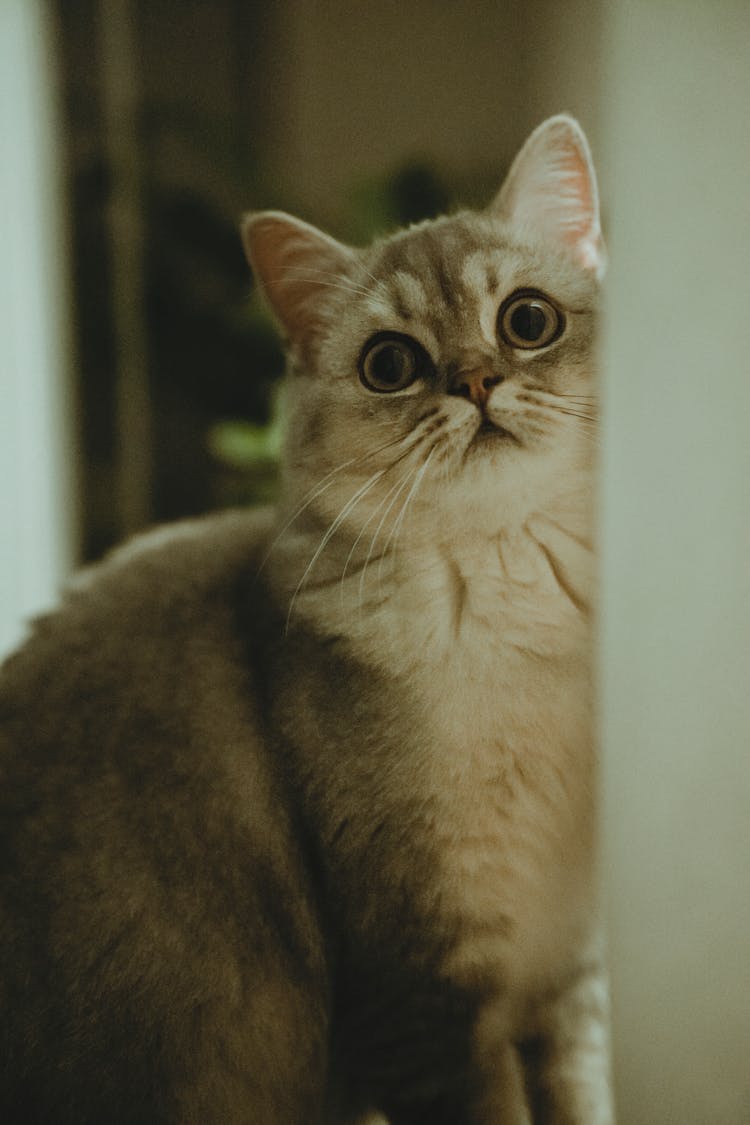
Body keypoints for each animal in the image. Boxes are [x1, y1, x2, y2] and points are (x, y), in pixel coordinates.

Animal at [0, 116, 611, 1125]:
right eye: (391, 364)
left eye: (528, 321)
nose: (476, 381)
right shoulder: (423, 991)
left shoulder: (568, 971)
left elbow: (580, 1099)